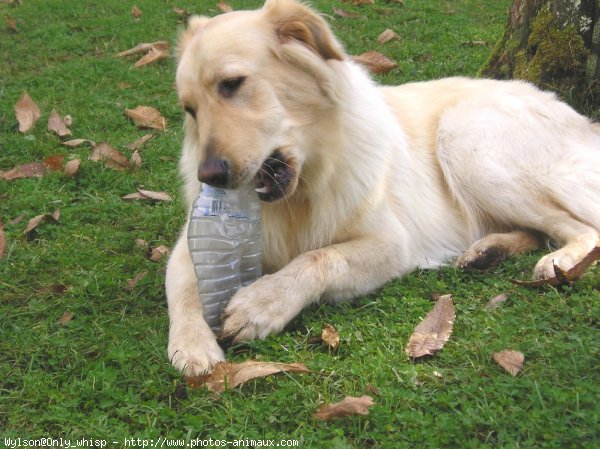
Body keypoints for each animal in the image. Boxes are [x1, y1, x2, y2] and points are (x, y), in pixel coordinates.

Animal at [166, 0, 600, 374]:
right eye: (190, 109)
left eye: (232, 84)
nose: (209, 176)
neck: (303, 191)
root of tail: (583, 120)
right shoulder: (185, 249)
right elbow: (184, 292)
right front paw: (192, 345)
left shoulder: (392, 243)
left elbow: (317, 258)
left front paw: (262, 303)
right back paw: (488, 251)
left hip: (464, 141)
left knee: (584, 228)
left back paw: (558, 260)